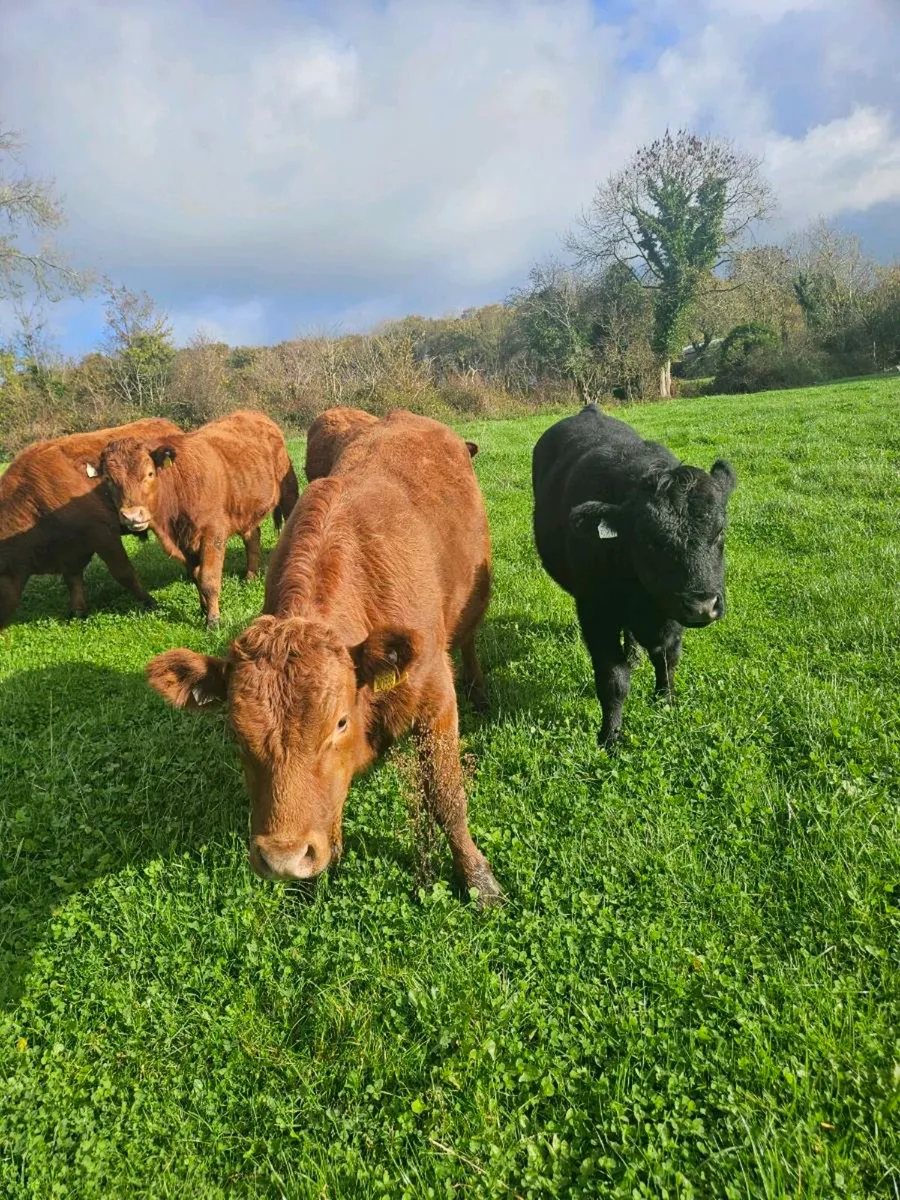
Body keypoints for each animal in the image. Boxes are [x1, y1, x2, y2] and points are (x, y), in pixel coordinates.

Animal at [0, 417, 180, 630]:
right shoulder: (70, 550)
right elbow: (73, 579)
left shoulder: (103, 534)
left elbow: (124, 572)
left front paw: (149, 601)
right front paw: (78, 612)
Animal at [99, 410, 300, 628]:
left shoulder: (212, 536)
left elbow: (208, 579)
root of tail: (253, 414)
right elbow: (195, 576)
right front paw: (203, 609)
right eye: (109, 480)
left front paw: (213, 620)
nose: (132, 515)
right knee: (252, 538)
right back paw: (250, 576)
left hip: (289, 491)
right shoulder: (185, 544)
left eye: (149, 473)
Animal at [532, 404, 737, 747]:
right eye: (649, 540)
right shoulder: (596, 612)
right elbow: (613, 678)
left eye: (719, 533)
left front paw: (666, 702)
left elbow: (668, 659)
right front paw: (610, 737)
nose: (702, 606)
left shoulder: (670, 612)